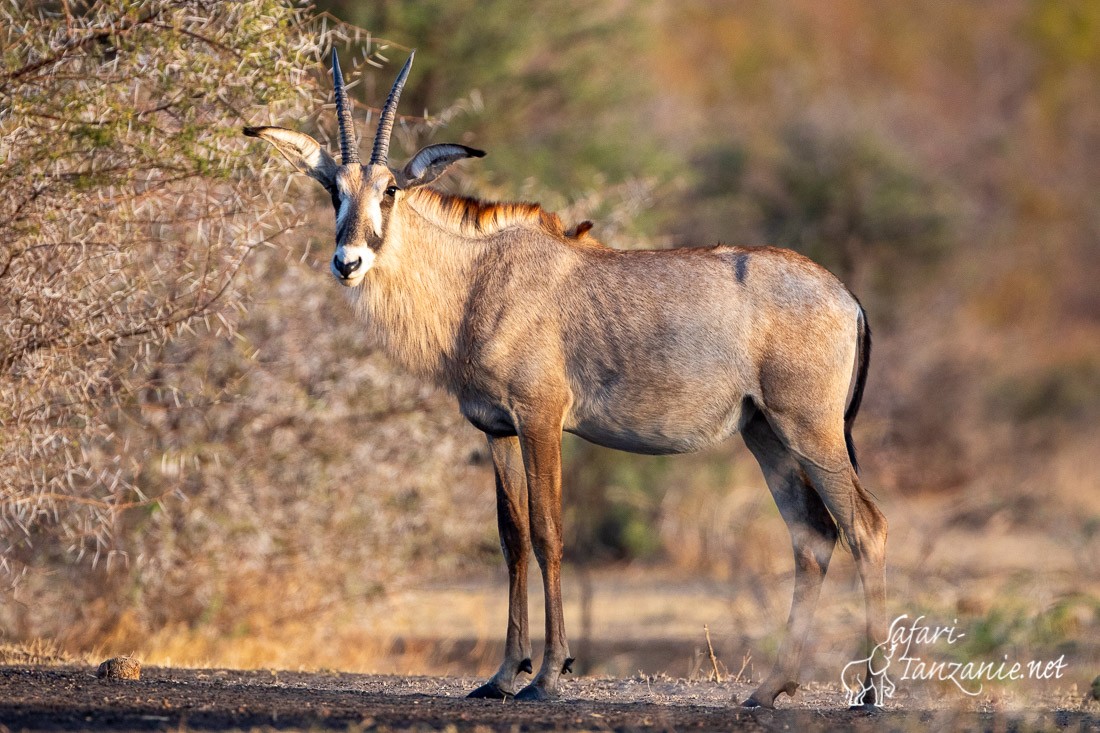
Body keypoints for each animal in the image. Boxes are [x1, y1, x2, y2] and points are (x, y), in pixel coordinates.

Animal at [245, 51, 888, 708]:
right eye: (333, 190)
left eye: (391, 190)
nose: (347, 262)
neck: (477, 280)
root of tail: (847, 297)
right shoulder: (496, 430)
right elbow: (512, 538)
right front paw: (503, 675)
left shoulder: (541, 419)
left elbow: (549, 533)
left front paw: (549, 673)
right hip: (764, 433)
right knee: (812, 535)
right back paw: (770, 688)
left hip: (810, 430)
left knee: (865, 527)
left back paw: (869, 691)